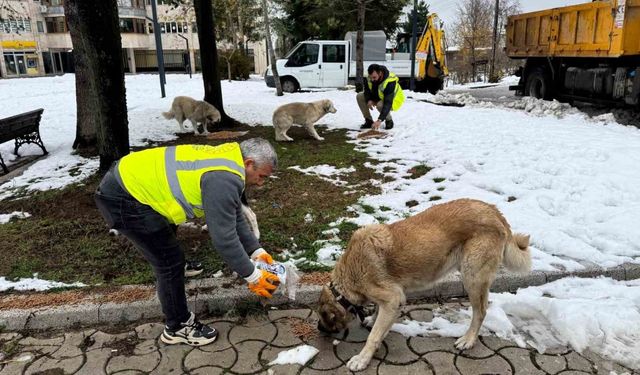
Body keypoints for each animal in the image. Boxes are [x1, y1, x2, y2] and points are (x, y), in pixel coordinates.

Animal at [316, 200, 528, 374]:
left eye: (322, 316)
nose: (318, 328)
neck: (348, 277)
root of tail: (494, 211)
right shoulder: (390, 299)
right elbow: (377, 313)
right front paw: (373, 319)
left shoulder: (392, 299)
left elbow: (374, 336)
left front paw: (362, 358)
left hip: (472, 278)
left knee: (481, 312)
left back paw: (468, 340)